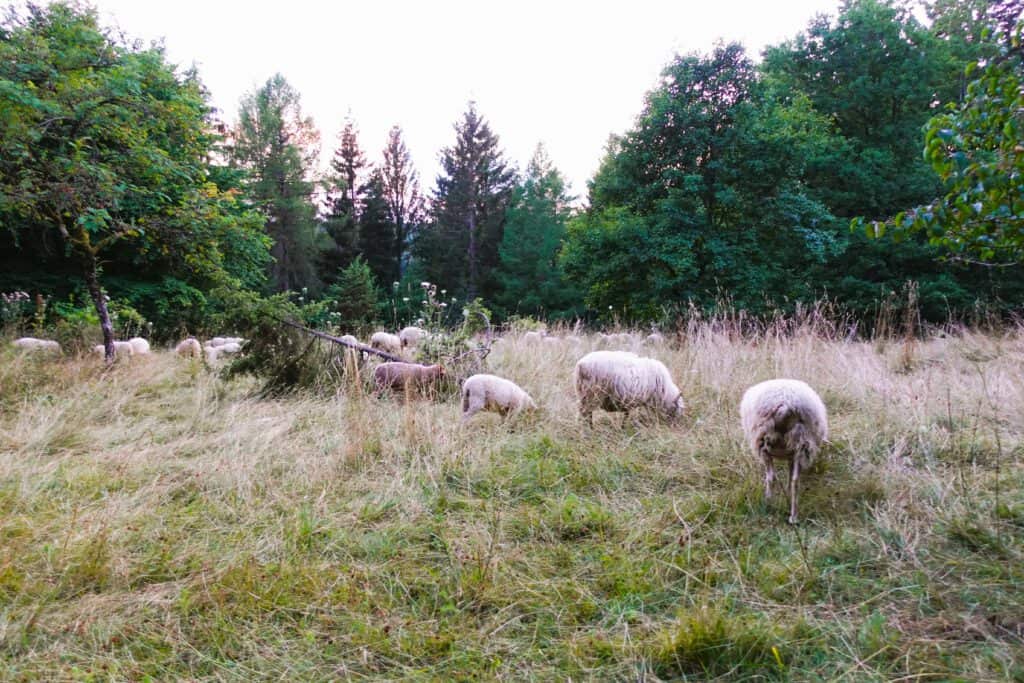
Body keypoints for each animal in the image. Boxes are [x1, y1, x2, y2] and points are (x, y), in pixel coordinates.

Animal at [741, 376, 827, 528]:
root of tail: (785, 404)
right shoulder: (791, 455)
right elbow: (790, 475)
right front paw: (787, 493)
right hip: (801, 443)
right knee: (795, 481)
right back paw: (793, 517)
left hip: (763, 444)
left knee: (771, 477)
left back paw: (768, 505)